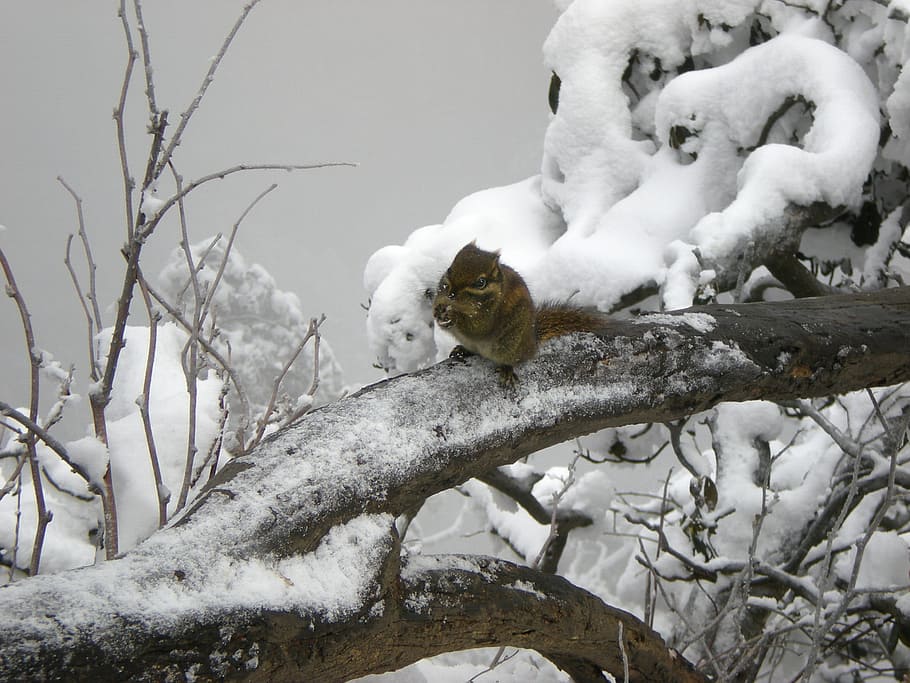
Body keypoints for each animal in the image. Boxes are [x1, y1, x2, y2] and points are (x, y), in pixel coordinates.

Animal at [433, 241, 606, 385]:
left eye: (481, 282)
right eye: (449, 269)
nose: (451, 294)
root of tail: (532, 342)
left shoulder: (489, 317)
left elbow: (478, 328)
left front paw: (452, 317)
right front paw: (438, 310)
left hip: (509, 346)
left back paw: (507, 370)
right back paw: (462, 349)